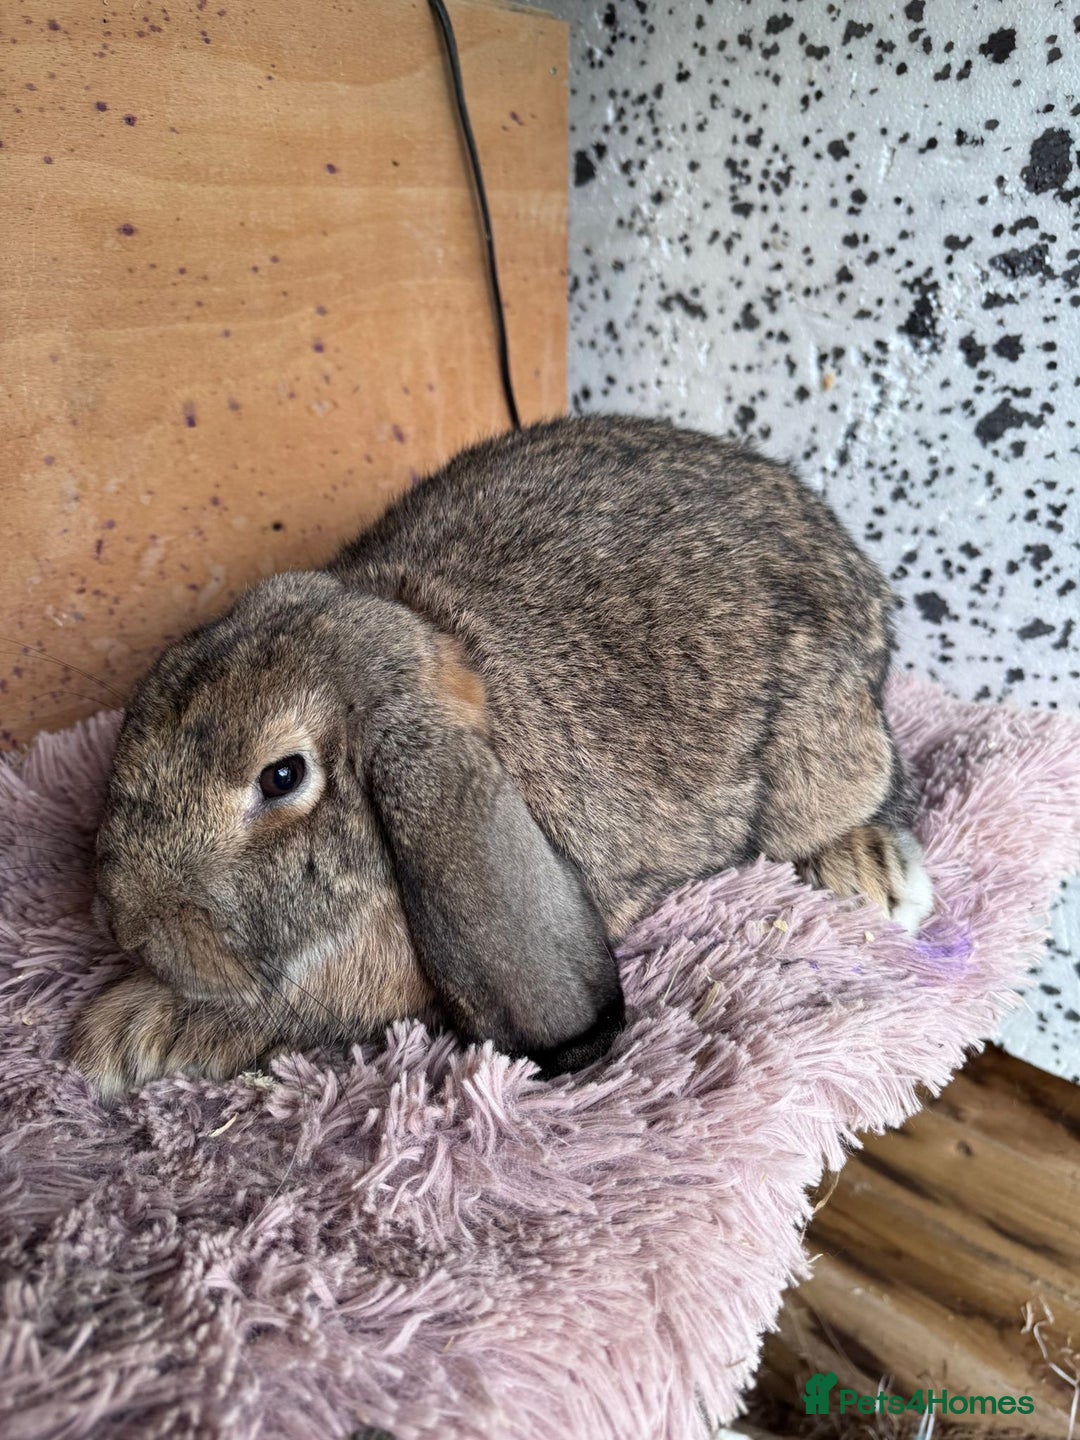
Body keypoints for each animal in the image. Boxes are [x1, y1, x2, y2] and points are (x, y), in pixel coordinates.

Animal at [71, 415, 932, 1098]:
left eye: (282, 777)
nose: (128, 925)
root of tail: (858, 570)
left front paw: (125, 1035)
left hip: (821, 756)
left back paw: (877, 874)